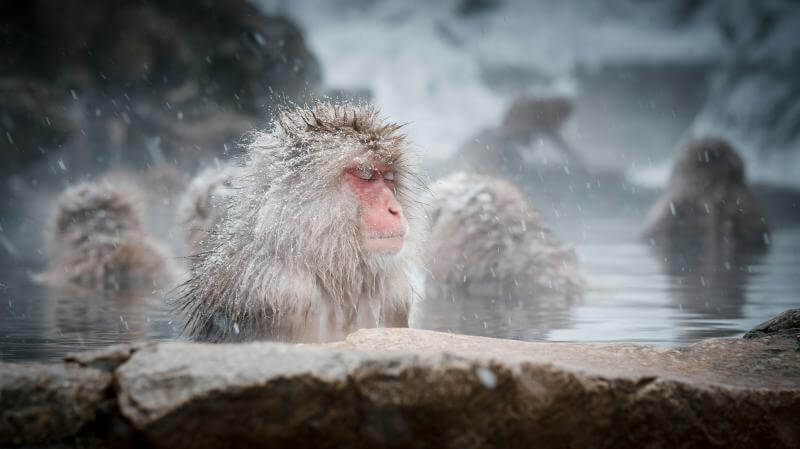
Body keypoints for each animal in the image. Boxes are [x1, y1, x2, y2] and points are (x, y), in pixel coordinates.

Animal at [176, 101, 426, 343]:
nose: (394, 209)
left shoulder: (394, 295)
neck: (333, 274)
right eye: (366, 175)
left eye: (388, 177)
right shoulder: (285, 295)